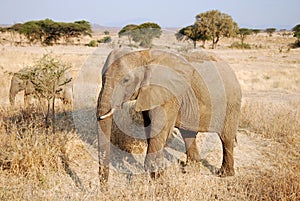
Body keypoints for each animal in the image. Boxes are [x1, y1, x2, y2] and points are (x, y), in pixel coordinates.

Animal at [96, 48, 241, 182]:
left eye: (126, 80)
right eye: (102, 78)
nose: (104, 187)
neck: (144, 56)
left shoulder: (168, 94)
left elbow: (159, 129)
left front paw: (155, 179)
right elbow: (150, 129)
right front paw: (158, 175)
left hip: (231, 103)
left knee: (226, 138)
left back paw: (224, 174)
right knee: (188, 134)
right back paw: (190, 169)